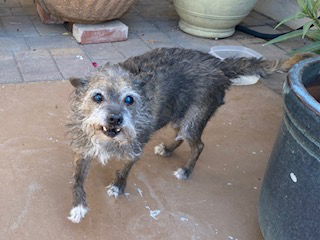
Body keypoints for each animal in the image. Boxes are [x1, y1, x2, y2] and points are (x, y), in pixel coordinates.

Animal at [67, 47, 310, 223]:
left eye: (129, 99)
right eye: (98, 97)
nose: (116, 119)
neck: (109, 139)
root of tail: (218, 63)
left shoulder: (134, 151)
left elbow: (124, 170)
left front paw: (118, 186)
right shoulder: (84, 150)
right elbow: (77, 179)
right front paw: (79, 206)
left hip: (192, 121)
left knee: (198, 145)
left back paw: (186, 170)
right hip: (178, 117)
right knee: (180, 137)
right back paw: (166, 149)